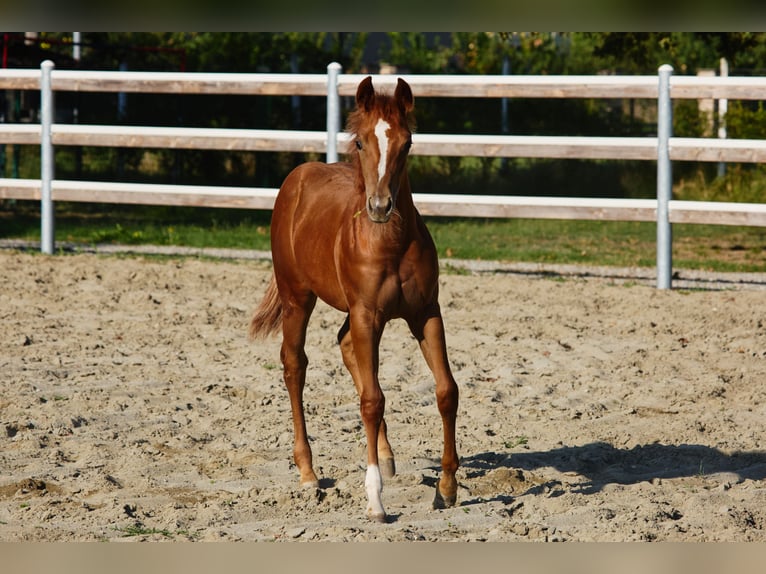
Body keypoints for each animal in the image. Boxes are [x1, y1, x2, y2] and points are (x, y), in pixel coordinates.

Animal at [249, 76, 459, 522]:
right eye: (361, 142)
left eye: (407, 143)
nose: (380, 206)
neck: (389, 241)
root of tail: (297, 177)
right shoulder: (368, 315)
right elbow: (371, 400)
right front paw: (375, 500)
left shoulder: (426, 313)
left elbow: (446, 390)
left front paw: (447, 487)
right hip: (298, 298)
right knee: (294, 366)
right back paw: (308, 474)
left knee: (345, 346)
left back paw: (388, 456)